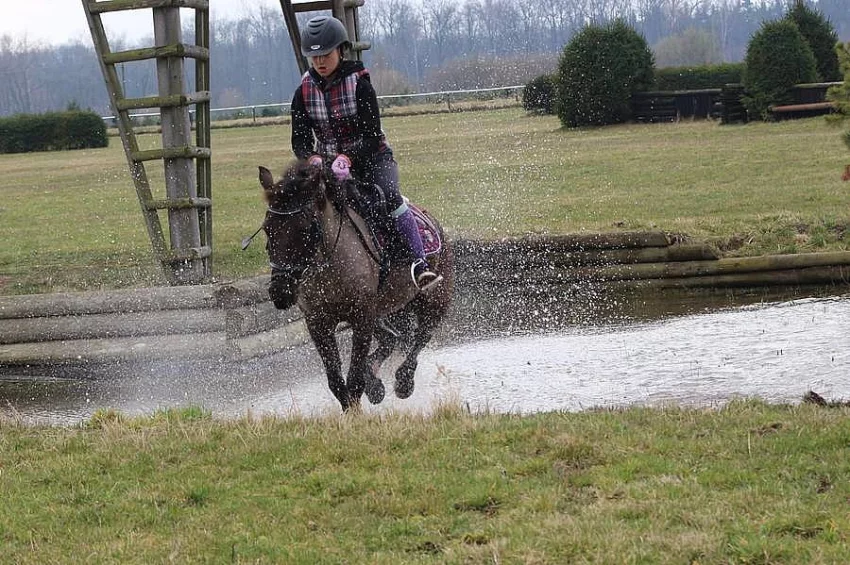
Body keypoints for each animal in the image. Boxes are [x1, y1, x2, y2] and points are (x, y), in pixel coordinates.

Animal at [257, 160, 454, 412]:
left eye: (305, 229)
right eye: (267, 228)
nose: (280, 291)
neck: (331, 265)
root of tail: (433, 222)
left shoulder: (361, 317)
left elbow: (354, 378)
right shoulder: (317, 322)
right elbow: (336, 381)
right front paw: (352, 409)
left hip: (435, 299)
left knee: (422, 336)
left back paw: (404, 381)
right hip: (387, 309)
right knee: (392, 339)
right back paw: (376, 383)